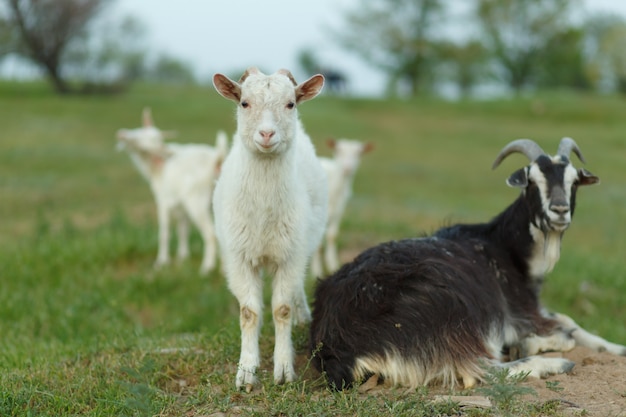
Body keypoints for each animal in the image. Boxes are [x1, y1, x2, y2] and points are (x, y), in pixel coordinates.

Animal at [115, 109, 227, 274]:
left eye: (158, 138)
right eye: (140, 135)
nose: (121, 134)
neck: (156, 170)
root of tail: (217, 160)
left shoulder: (163, 200)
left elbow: (164, 232)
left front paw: (161, 262)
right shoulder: (180, 206)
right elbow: (182, 229)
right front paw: (183, 257)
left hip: (196, 200)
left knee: (211, 234)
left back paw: (207, 268)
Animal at [211, 66, 326, 390]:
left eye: (291, 104)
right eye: (244, 103)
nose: (266, 134)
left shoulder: (289, 255)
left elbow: (281, 309)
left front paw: (284, 369)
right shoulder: (239, 257)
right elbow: (249, 312)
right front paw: (246, 372)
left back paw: (303, 316)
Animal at [310, 138, 372, 278]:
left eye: (358, 153)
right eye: (339, 151)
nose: (348, 169)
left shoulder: (339, 211)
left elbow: (332, 236)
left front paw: (332, 264)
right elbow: (318, 243)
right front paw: (317, 271)